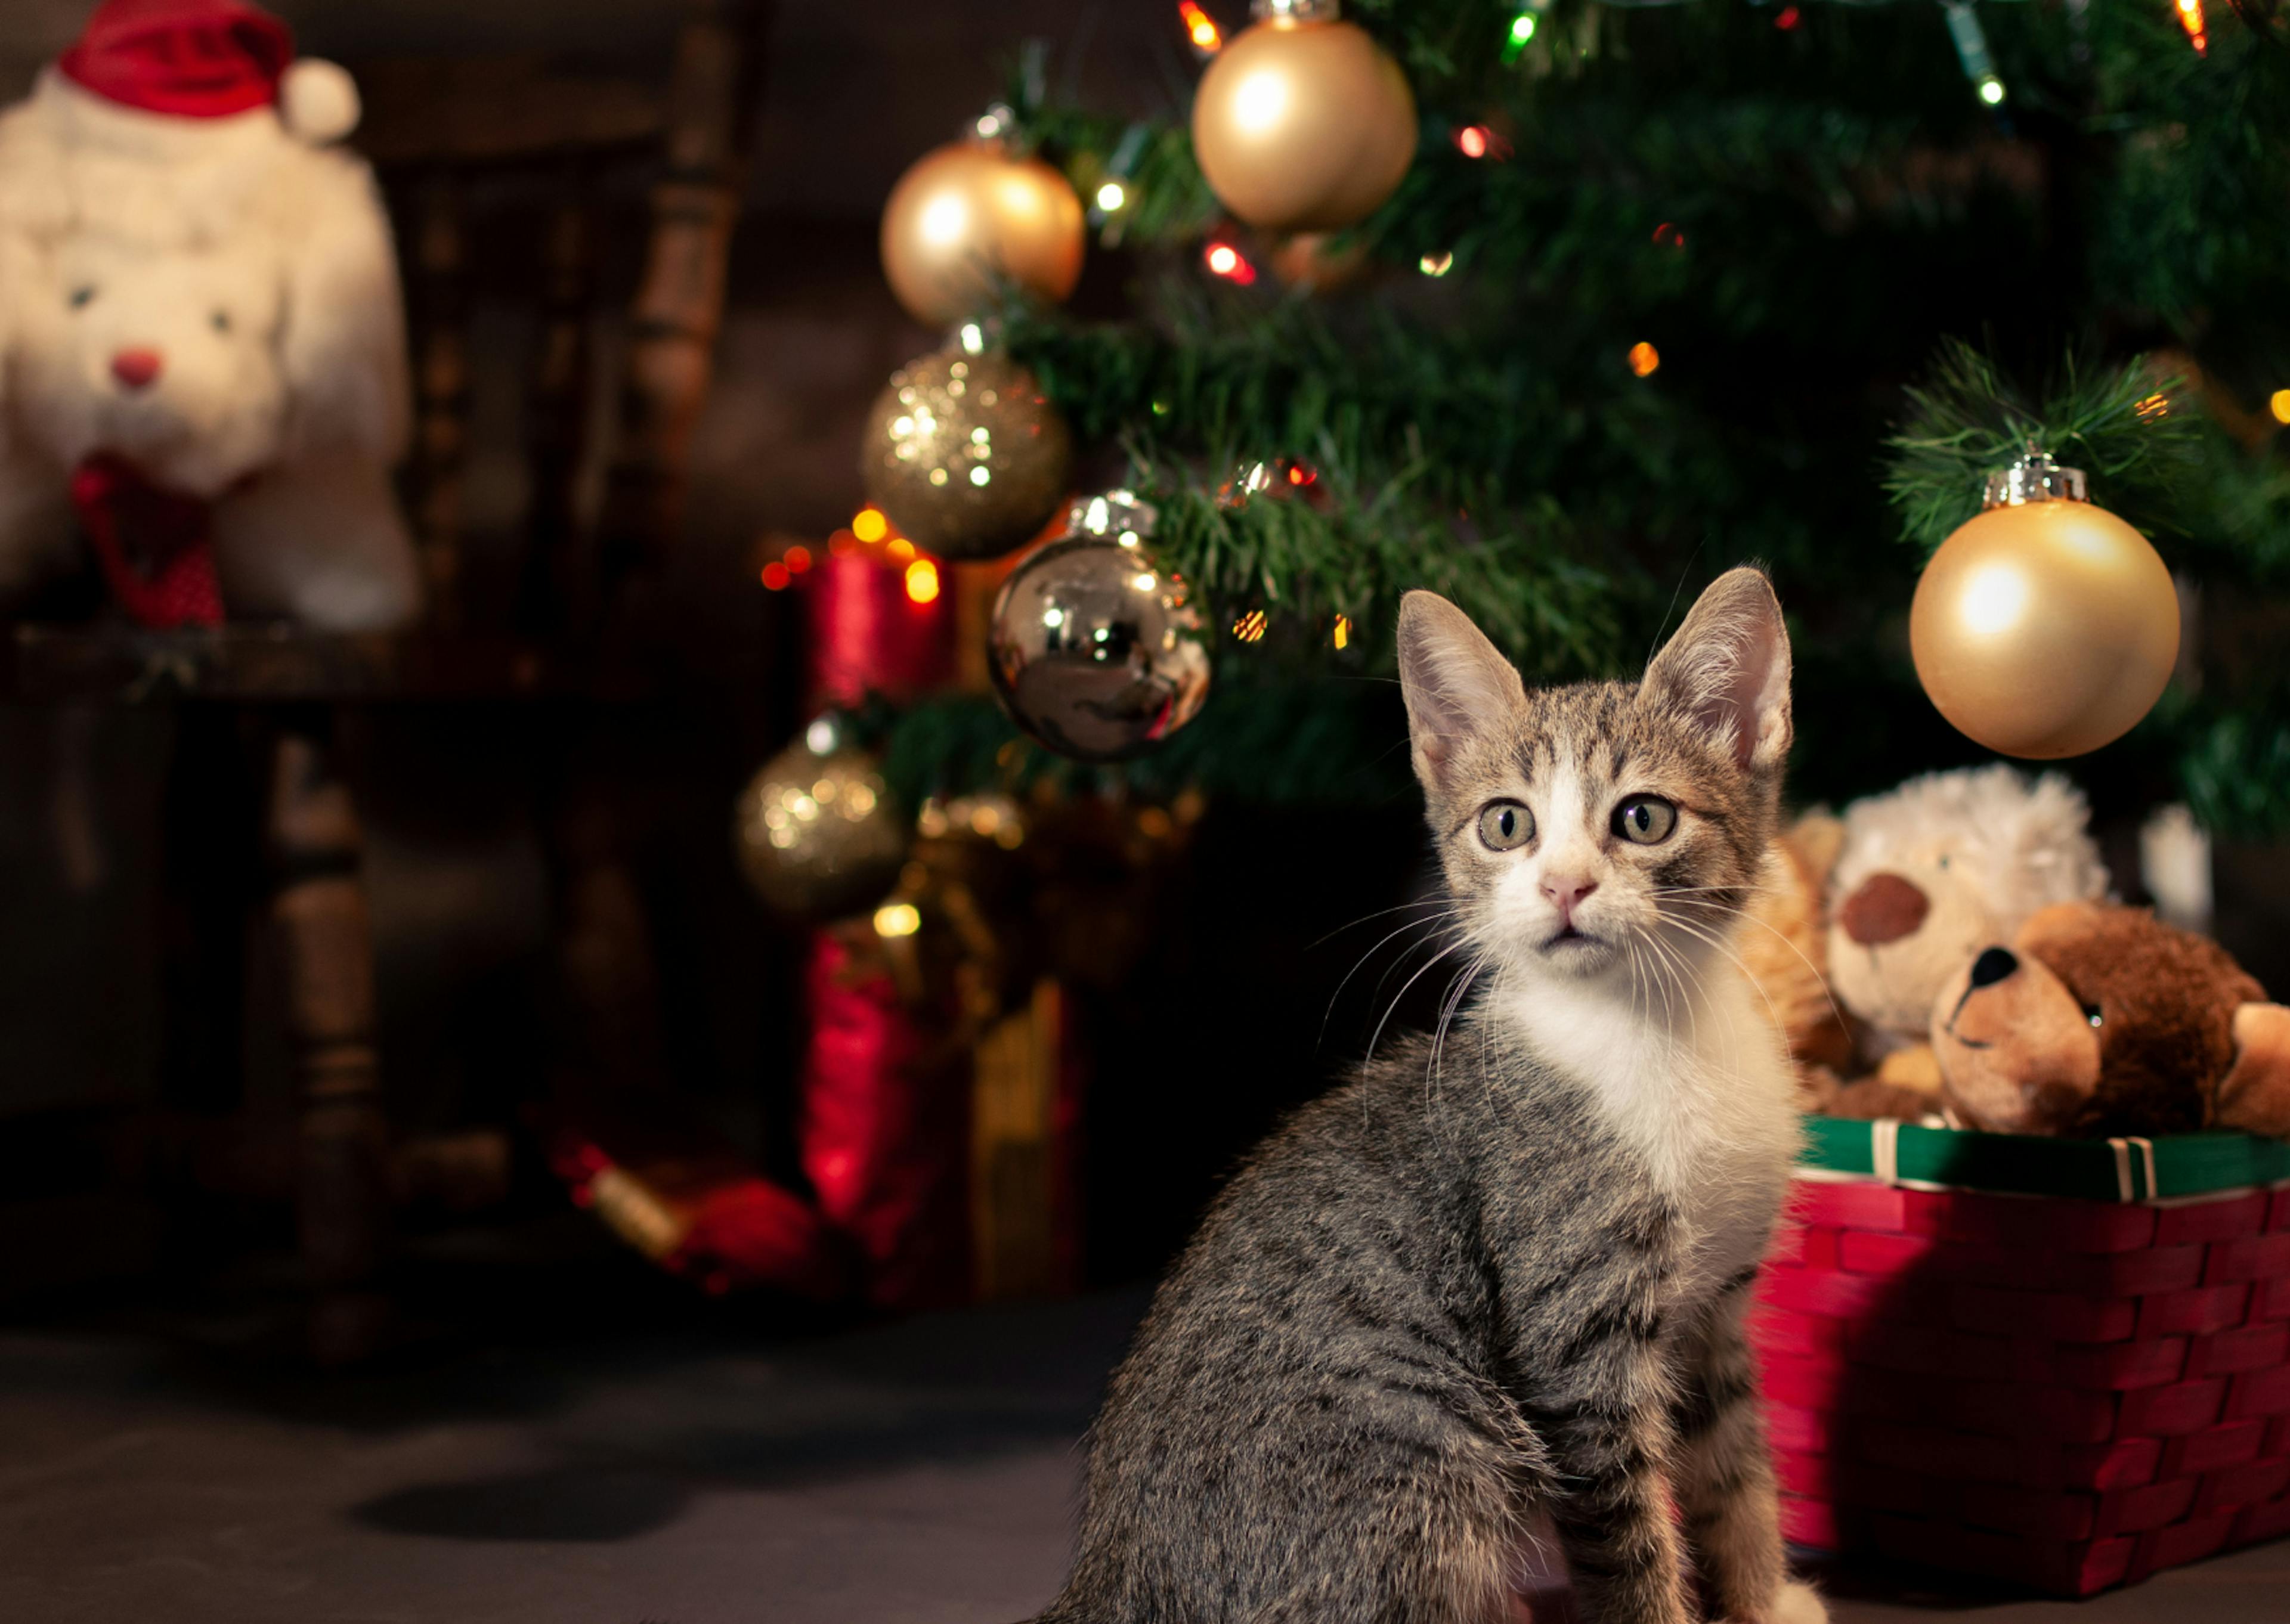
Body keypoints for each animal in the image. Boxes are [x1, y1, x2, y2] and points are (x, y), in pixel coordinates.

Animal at [1030, 572, 1814, 1622]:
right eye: (1507, 824)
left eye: (1644, 818)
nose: (1565, 886)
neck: (1659, 1032)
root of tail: (1106, 1576)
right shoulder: (1573, 1331)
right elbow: (1628, 1533)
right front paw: (1665, 1607)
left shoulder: (1716, 1308)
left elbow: (1735, 1463)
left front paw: (1767, 1597)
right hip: (1421, 1451)